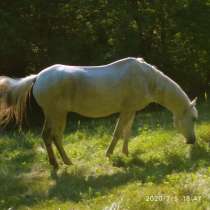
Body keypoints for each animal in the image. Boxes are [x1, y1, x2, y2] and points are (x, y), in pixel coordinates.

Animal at [0, 57, 198, 169]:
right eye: (194, 119)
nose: (192, 141)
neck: (147, 79)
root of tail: (38, 77)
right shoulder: (126, 110)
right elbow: (118, 132)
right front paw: (109, 154)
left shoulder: (131, 110)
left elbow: (127, 132)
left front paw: (126, 153)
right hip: (55, 114)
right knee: (49, 136)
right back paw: (58, 164)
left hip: (58, 115)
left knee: (55, 137)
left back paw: (65, 161)